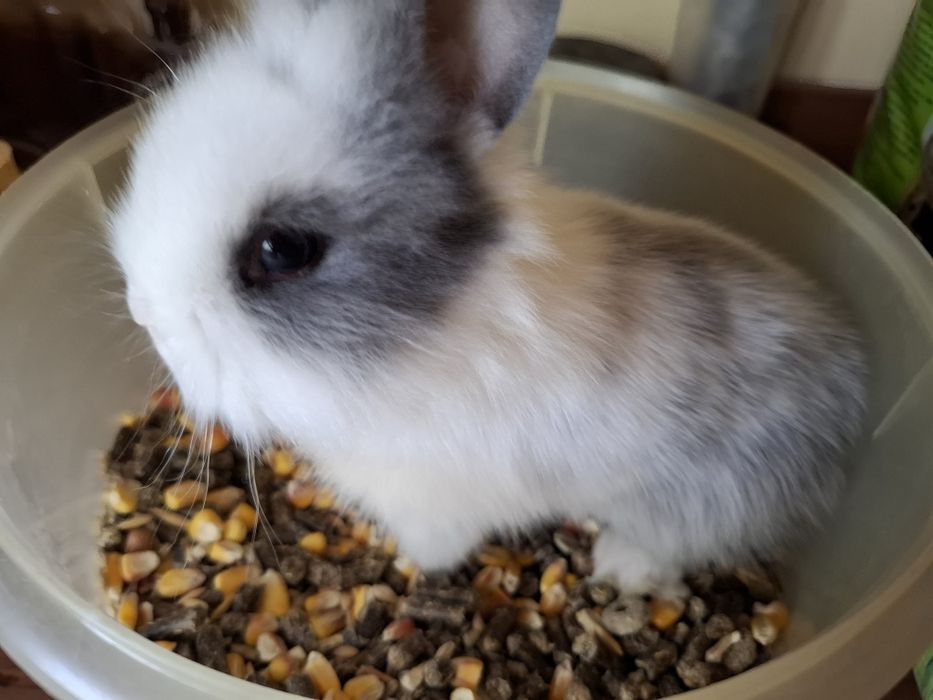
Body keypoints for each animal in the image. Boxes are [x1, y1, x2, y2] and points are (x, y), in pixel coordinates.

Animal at [110, 0, 867, 595]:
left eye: (282, 250)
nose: (144, 313)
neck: (425, 333)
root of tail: (851, 384)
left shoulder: (437, 502)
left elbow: (434, 546)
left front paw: (415, 569)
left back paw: (620, 568)